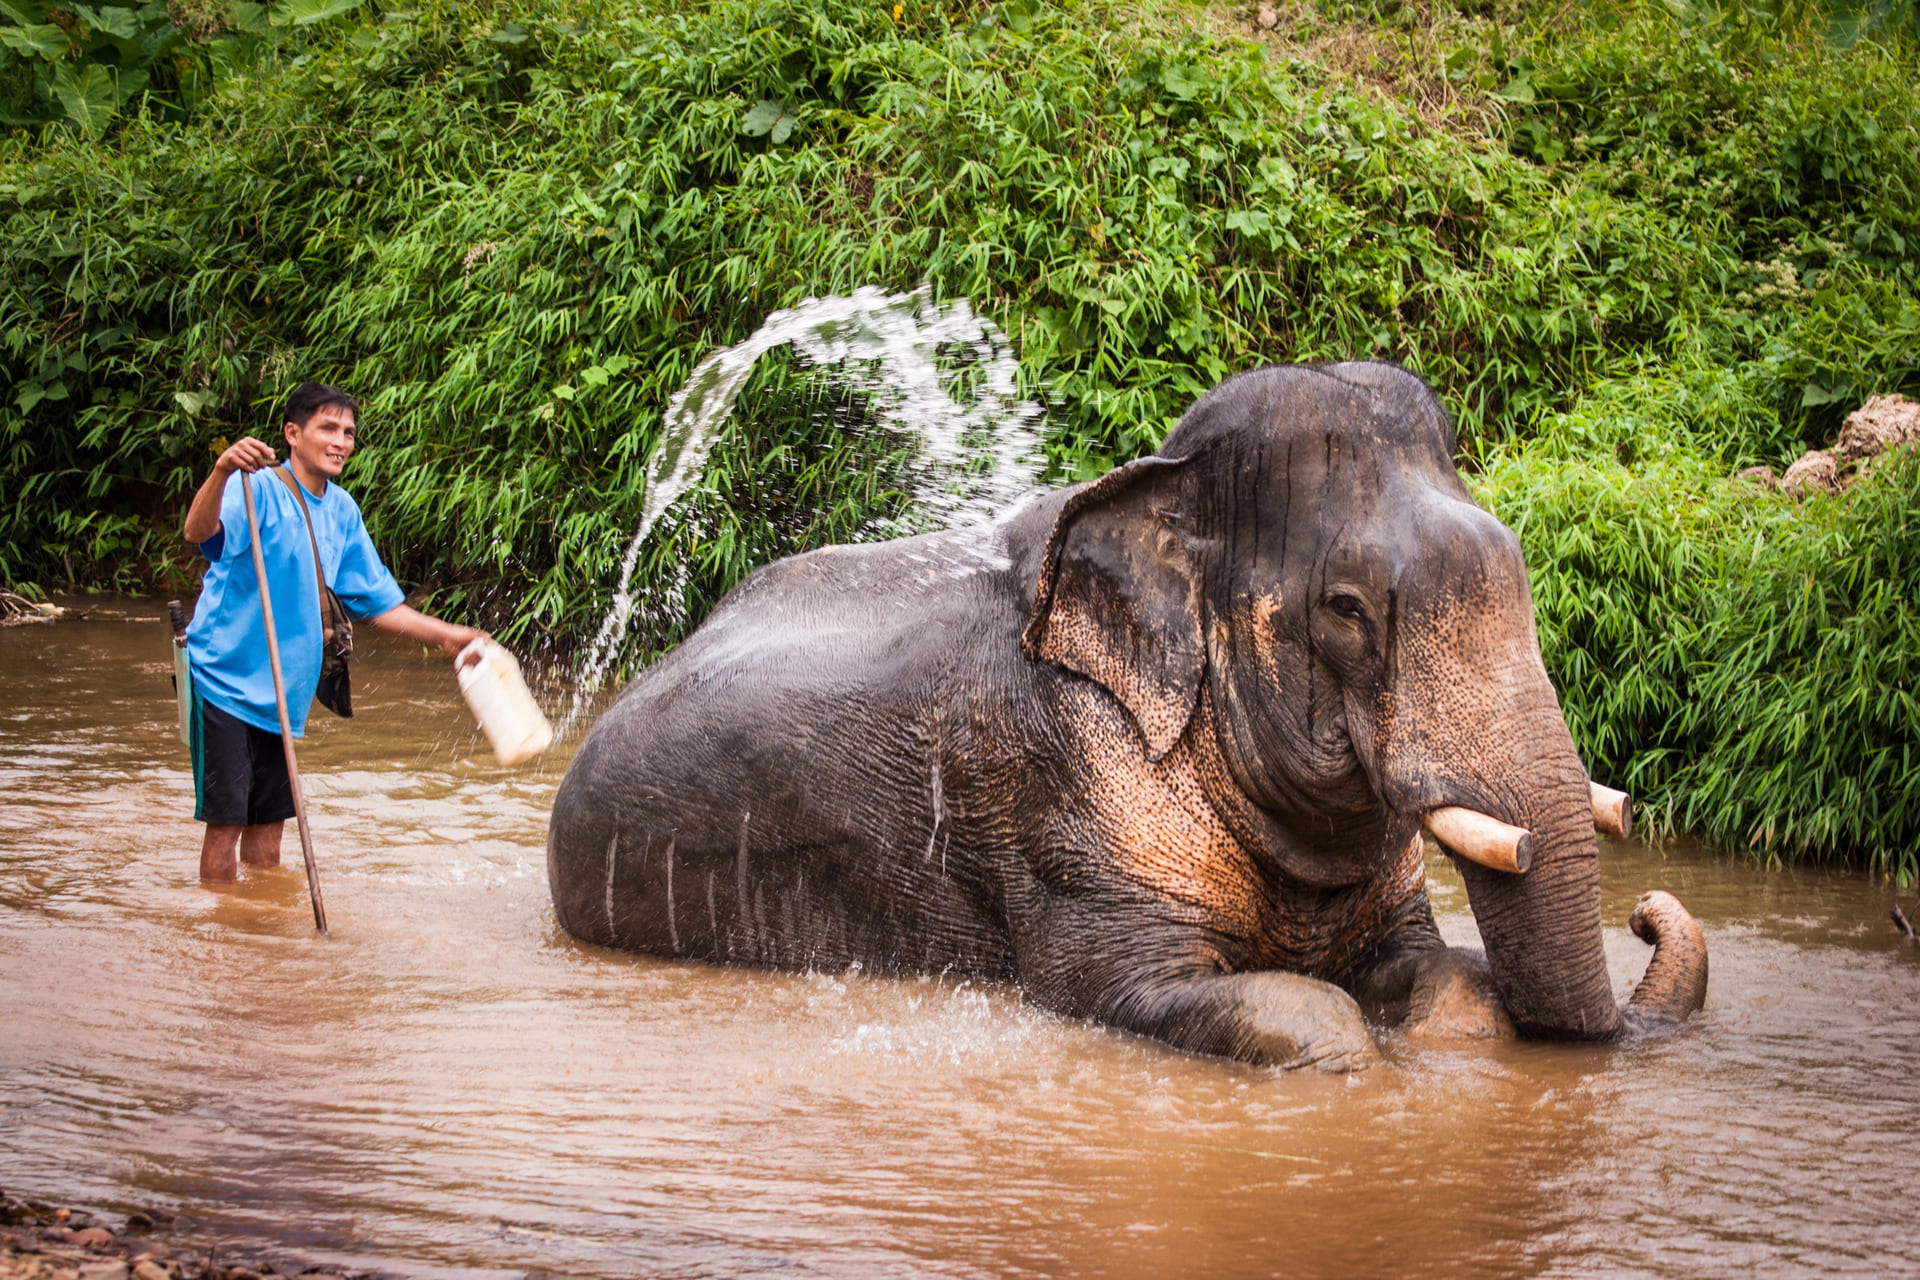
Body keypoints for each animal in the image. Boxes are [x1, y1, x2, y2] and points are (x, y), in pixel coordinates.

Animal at [547, 361, 1708, 1069]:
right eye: (1346, 609)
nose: (1647, 906)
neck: (1161, 486)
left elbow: (1452, 986)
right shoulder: (1052, 783)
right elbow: (1215, 999)